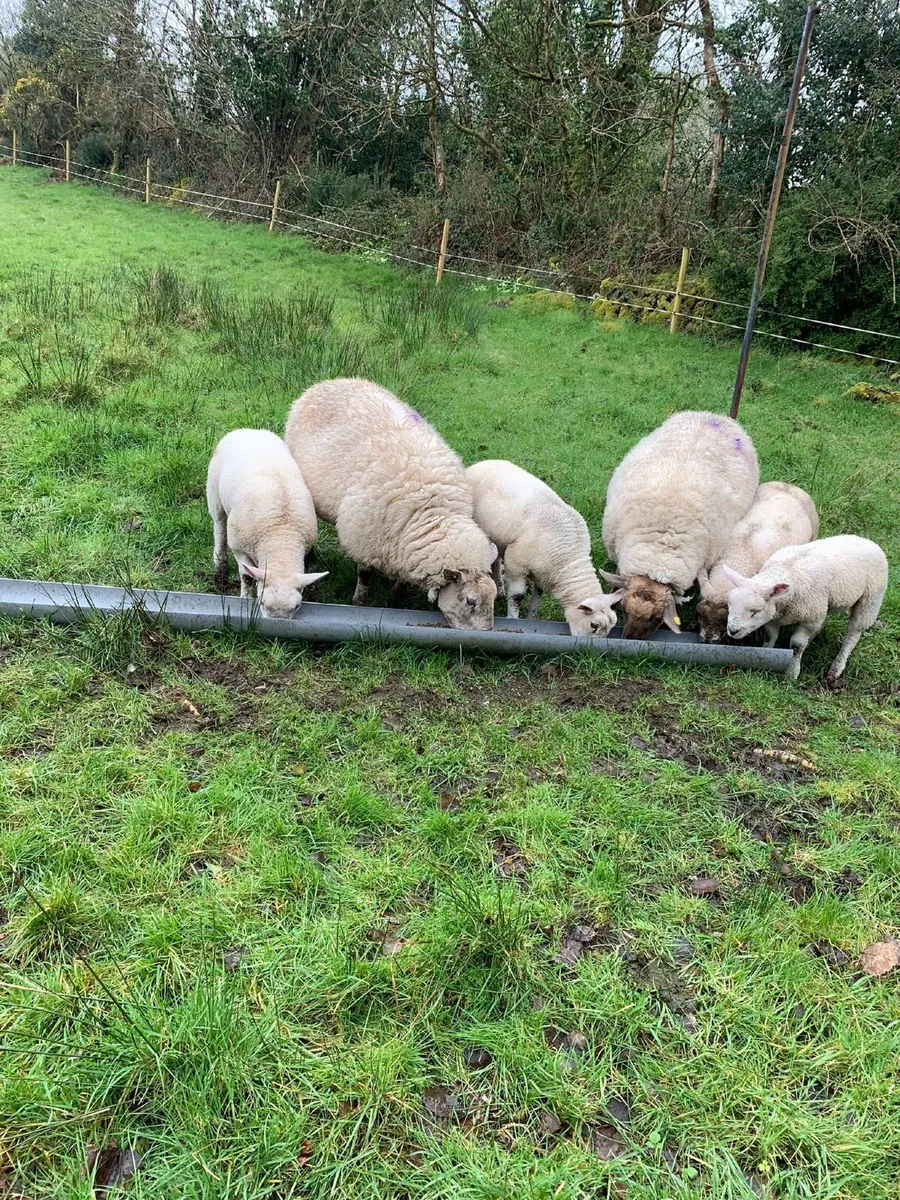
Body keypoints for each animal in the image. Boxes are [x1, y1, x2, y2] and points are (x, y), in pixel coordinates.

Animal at [206, 428, 327, 618]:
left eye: (297, 606)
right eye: (262, 603)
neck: (279, 538)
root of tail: (248, 430)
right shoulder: (240, 549)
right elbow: (247, 577)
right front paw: (245, 599)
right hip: (214, 492)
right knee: (219, 527)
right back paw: (219, 566)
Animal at [284, 378, 498, 629]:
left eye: (494, 597)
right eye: (470, 601)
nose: (487, 633)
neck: (432, 509)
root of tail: (329, 381)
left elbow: (403, 581)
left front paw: (397, 600)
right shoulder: (364, 541)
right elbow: (364, 575)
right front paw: (359, 602)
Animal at [466, 459, 624, 635]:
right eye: (593, 625)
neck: (568, 560)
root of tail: (482, 463)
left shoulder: (543, 575)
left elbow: (538, 596)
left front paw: (531, 618)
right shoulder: (516, 563)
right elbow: (517, 596)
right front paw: (513, 619)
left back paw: (499, 588)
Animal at [724, 535, 888, 686]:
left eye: (756, 611)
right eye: (730, 604)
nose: (732, 631)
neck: (787, 571)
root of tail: (866, 540)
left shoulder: (810, 618)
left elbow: (797, 645)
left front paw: (792, 673)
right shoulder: (774, 616)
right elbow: (770, 637)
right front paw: (766, 654)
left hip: (870, 599)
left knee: (852, 635)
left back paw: (836, 668)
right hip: (825, 605)